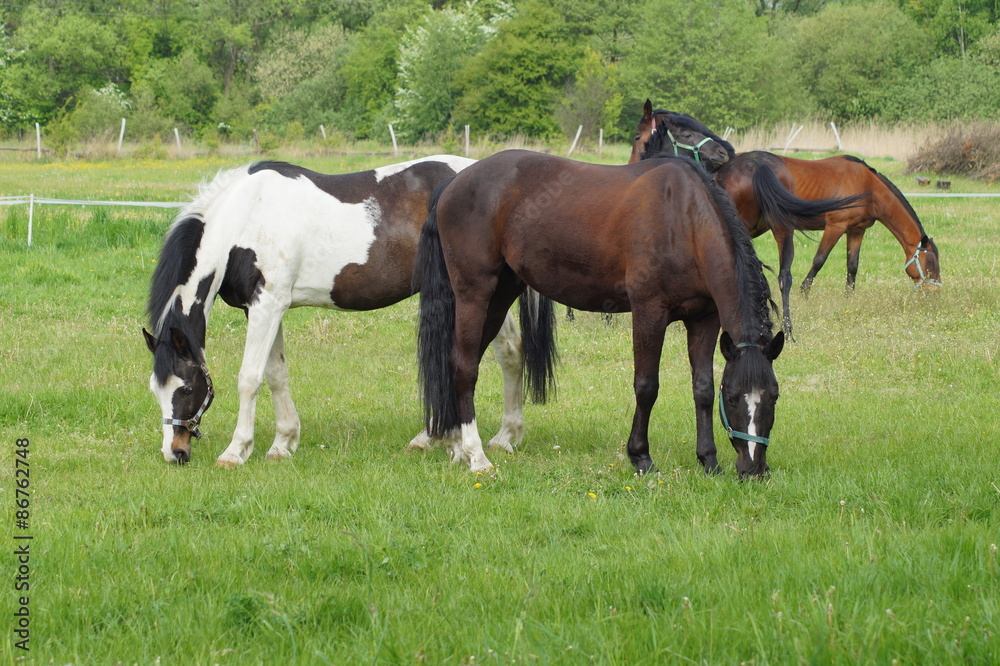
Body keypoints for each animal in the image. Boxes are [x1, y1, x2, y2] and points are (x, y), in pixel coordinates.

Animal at [146, 157, 532, 466]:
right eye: (155, 390)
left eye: (186, 389)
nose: (174, 453)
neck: (245, 217)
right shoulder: (264, 307)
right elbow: (275, 374)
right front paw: (283, 443)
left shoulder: (267, 305)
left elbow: (250, 378)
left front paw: (235, 451)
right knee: (503, 353)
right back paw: (473, 439)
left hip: (473, 294)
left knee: (498, 354)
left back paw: (485, 440)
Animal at [412, 148, 780, 474]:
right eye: (732, 398)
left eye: (774, 397)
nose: (754, 469)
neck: (684, 219)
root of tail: (455, 182)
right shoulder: (649, 312)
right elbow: (646, 386)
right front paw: (640, 457)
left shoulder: (704, 319)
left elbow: (702, 388)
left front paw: (708, 460)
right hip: (474, 295)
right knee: (464, 368)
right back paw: (475, 456)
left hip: (500, 295)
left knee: (459, 361)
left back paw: (456, 445)